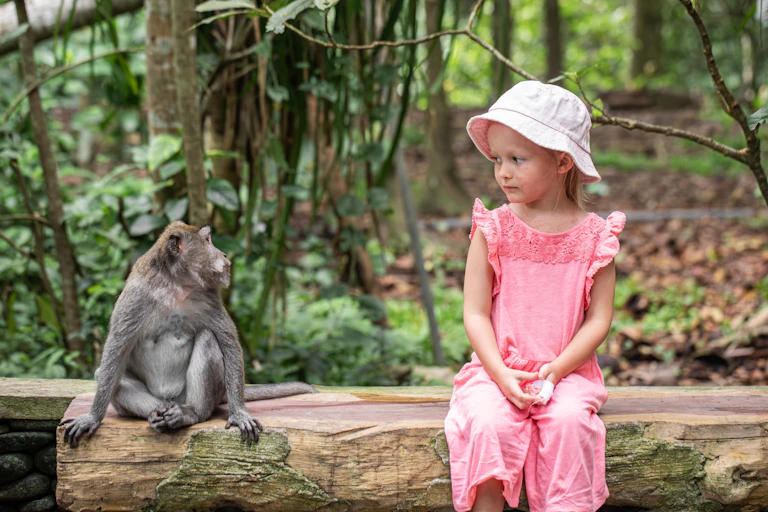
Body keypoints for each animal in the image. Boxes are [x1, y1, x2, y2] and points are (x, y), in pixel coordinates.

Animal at [61, 221, 316, 447]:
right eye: (208, 240)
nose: (223, 254)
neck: (174, 284)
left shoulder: (208, 296)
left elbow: (229, 344)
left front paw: (239, 413)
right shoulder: (135, 296)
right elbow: (116, 350)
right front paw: (92, 417)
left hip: (200, 394)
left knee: (207, 339)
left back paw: (190, 414)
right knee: (107, 374)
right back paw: (158, 412)